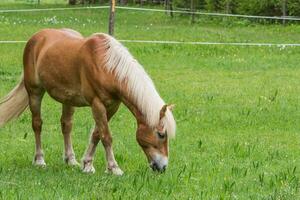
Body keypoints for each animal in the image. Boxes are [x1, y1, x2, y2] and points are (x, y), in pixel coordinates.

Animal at [0, 28, 176, 175]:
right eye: (161, 134)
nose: (163, 167)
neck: (107, 66)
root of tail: (37, 37)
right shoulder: (97, 104)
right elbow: (106, 136)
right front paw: (114, 168)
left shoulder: (112, 106)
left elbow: (96, 134)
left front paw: (87, 164)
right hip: (35, 92)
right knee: (37, 124)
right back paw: (40, 160)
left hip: (67, 99)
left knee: (66, 125)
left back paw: (71, 160)